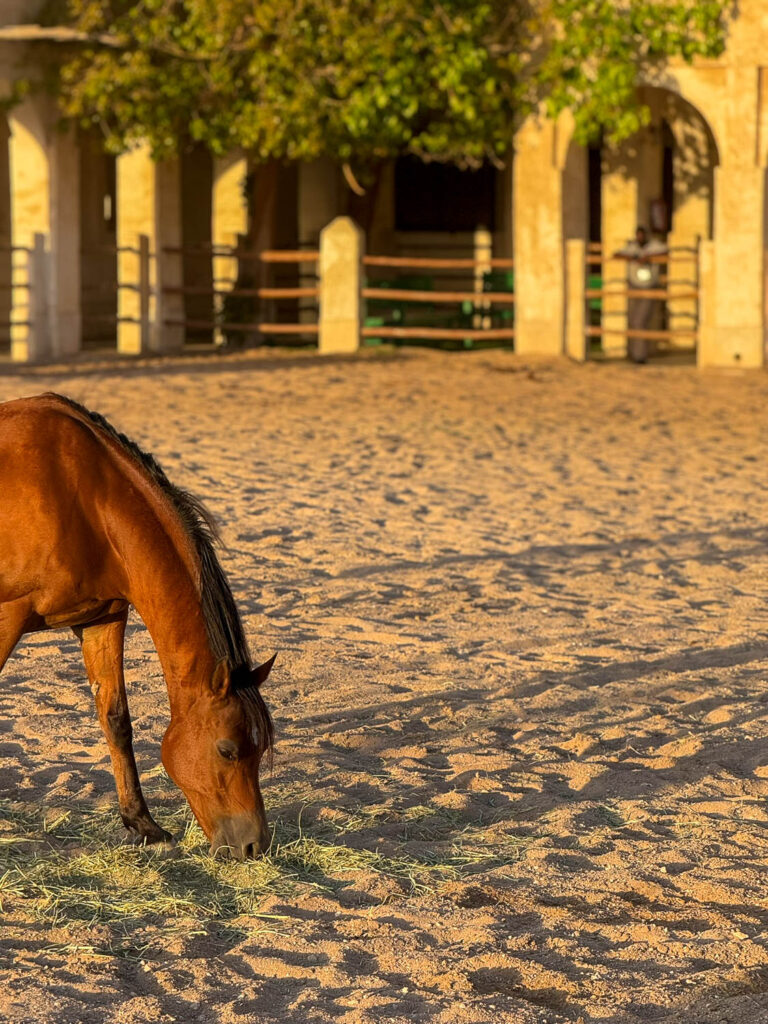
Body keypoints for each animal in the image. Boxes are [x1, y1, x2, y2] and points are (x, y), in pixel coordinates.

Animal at [0, 393, 275, 860]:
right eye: (227, 750)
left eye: (261, 750)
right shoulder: (7, 615)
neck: (81, 496)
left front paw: (142, 824)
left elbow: (116, 720)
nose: (254, 846)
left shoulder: (102, 618)